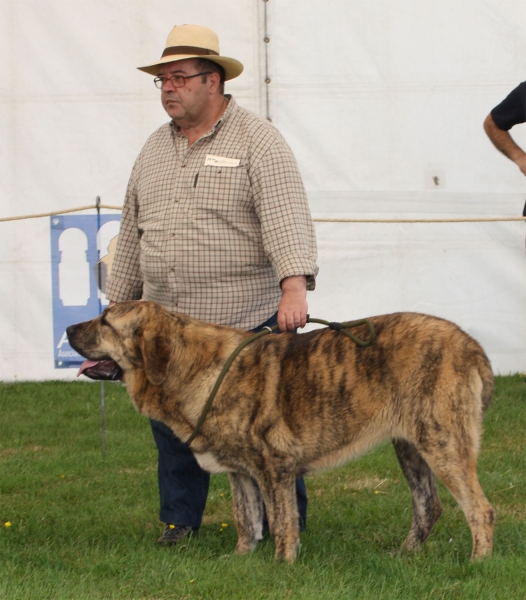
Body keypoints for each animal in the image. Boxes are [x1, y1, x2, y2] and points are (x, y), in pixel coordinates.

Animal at [65, 300, 496, 564]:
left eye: (105, 322)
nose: (68, 328)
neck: (190, 367)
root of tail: (471, 344)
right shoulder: (240, 472)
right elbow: (247, 519)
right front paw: (240, 560)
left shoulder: (275, 467)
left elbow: (283, 521)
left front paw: (281, 564)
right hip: (410, 447)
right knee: (428, 506)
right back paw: (404, 555)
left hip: (441, 442)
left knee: (480, 509)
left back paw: (477, 562)